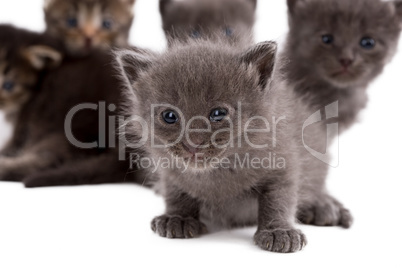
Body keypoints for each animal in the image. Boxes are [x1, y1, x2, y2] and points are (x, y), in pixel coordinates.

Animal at [116, 38, 352, 252]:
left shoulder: (283, 163)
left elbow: (278, 200)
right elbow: (177, 193)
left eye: (218, 113)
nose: (193, 144)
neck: (217, 172)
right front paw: (178, 218)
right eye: (169, 116)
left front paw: (278, 231)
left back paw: (324, 207)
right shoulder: (170, 171)